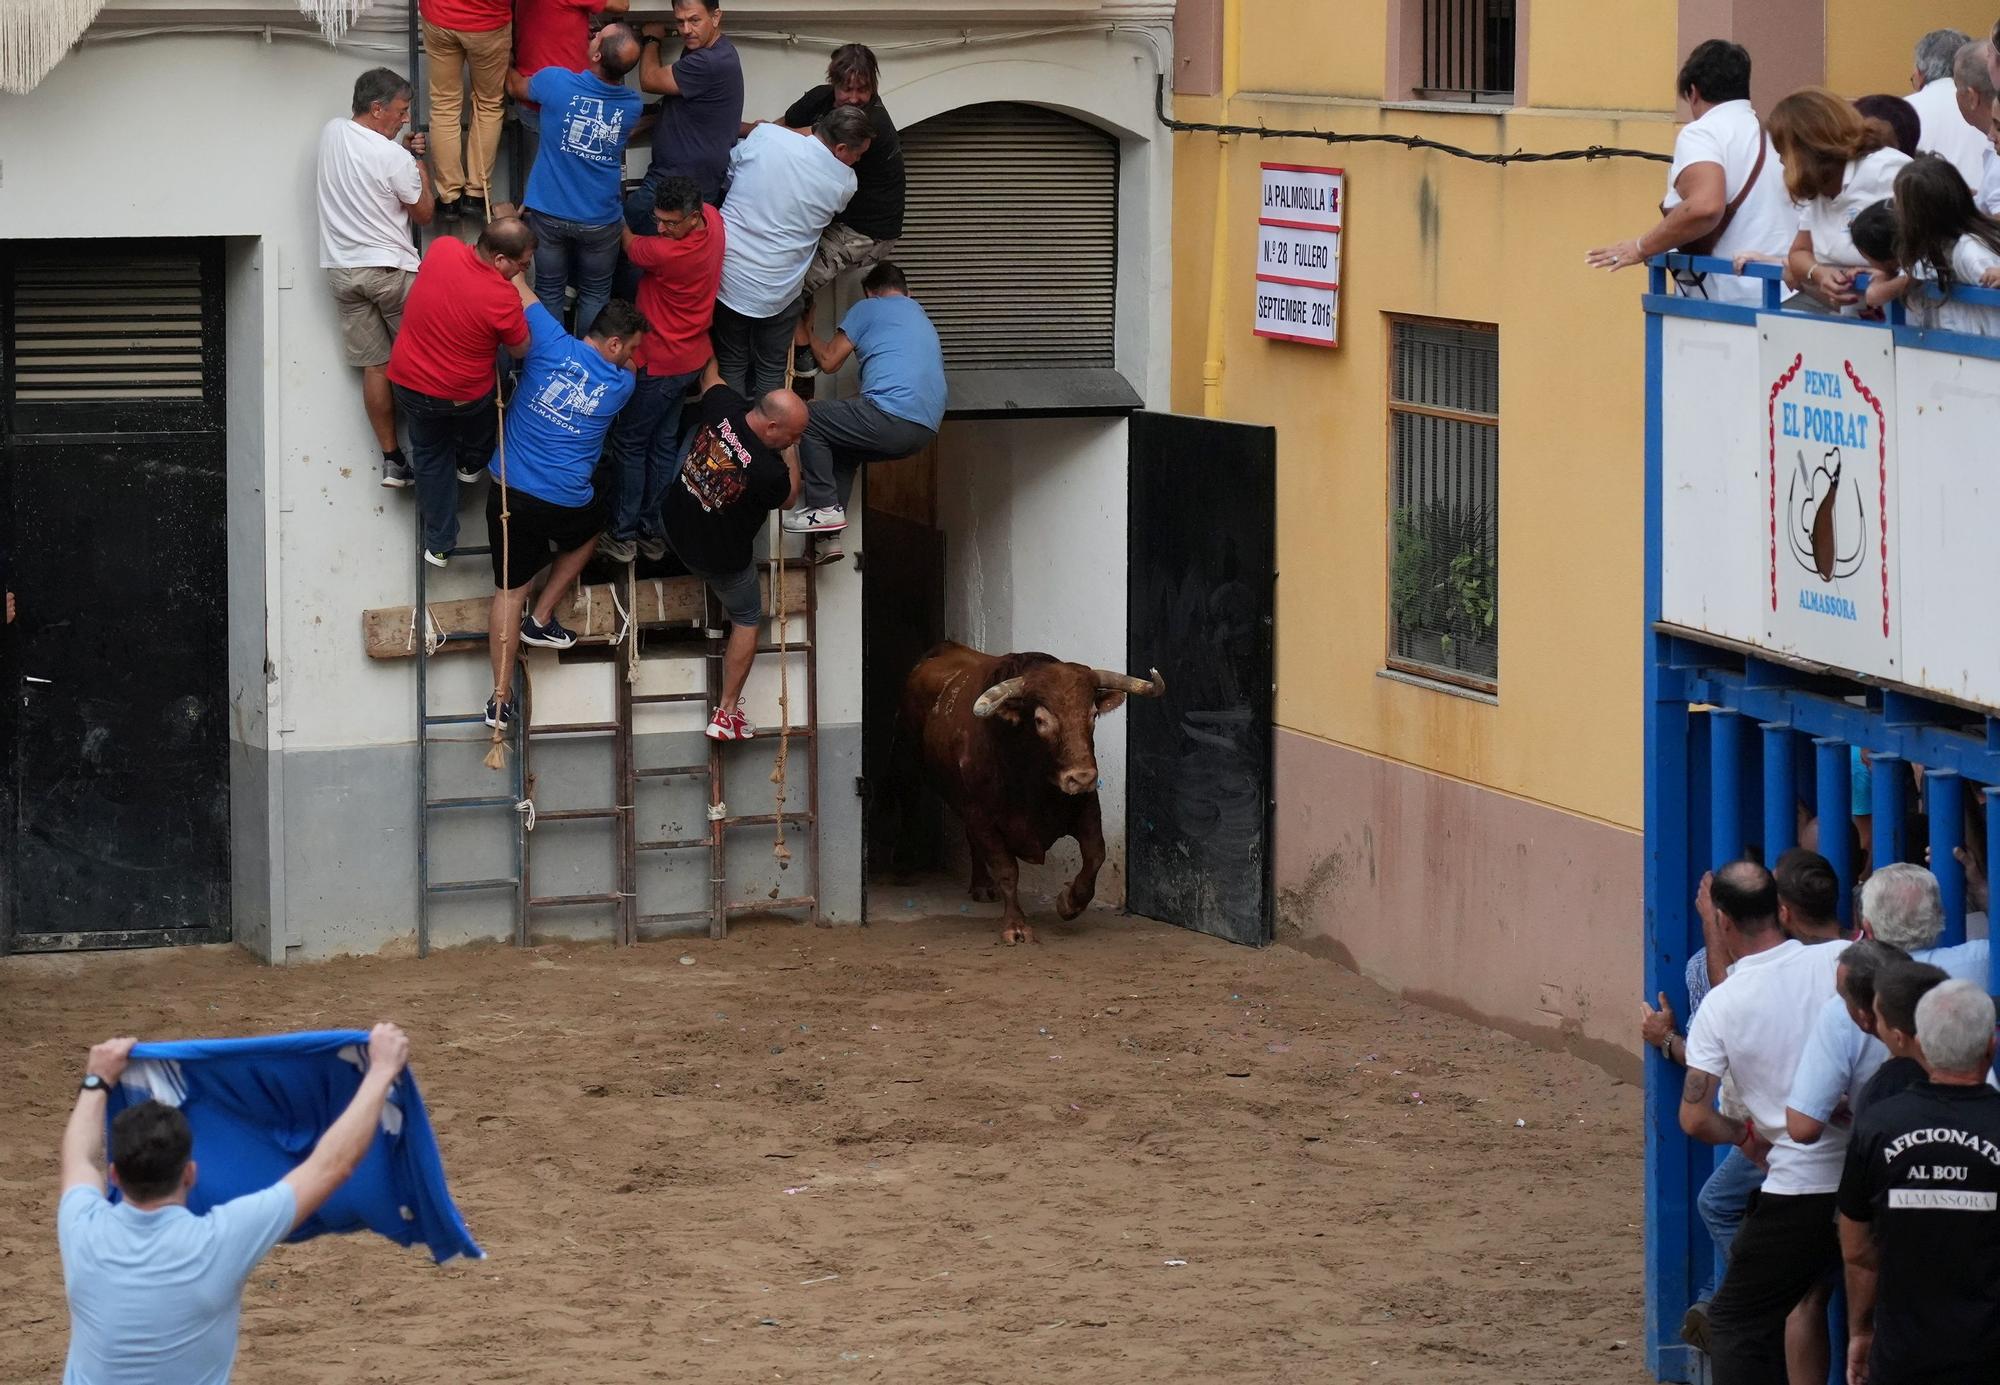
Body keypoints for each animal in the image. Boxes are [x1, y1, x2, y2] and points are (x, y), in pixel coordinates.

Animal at [904, 644, 1168, 948]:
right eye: (1041, 720)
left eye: (1092, 714)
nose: (1082, 777)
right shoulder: (982, 817)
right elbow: (1007, 871)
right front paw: (1016, 925)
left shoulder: (1087, 807)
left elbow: (1095, 856)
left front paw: (1069, 903)